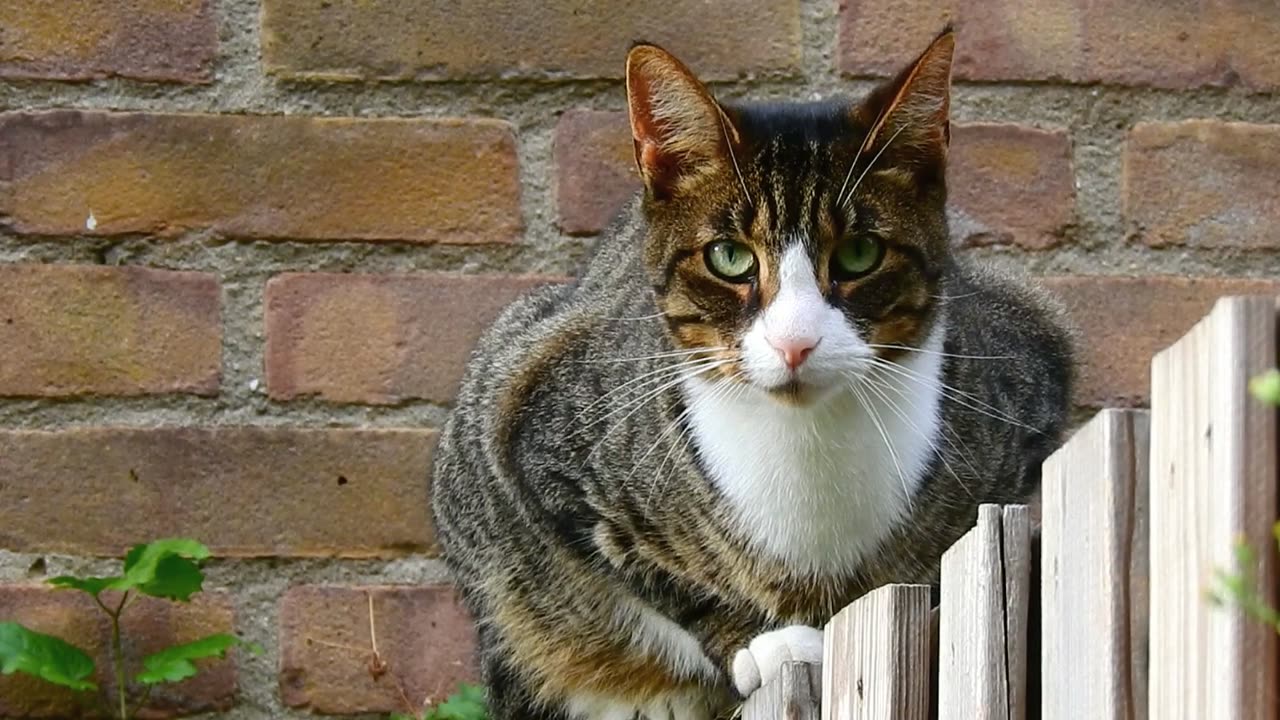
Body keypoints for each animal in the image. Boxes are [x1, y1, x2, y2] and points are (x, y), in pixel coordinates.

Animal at [430, 28, 1070, 717]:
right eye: (729, 258)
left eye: (860, 253)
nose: (795, 343)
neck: (807, 444)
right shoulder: (532, 424)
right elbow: (651, 571)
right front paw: (762, 639)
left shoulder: (1030, 374)